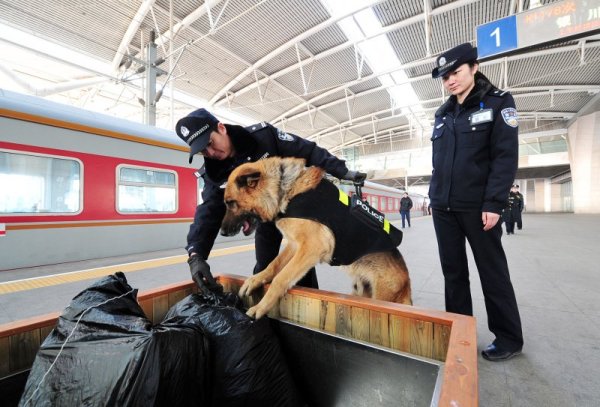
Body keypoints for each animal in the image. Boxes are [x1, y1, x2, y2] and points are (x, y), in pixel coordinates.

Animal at [220, 158, 412, 320]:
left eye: (231, 203)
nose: (221, 232)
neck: (286, 189)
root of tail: (406, 280)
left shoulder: (311, 247)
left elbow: (280, 278)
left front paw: (261, 307)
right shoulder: (295, 244)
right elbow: (274, 265)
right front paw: (255, 279)